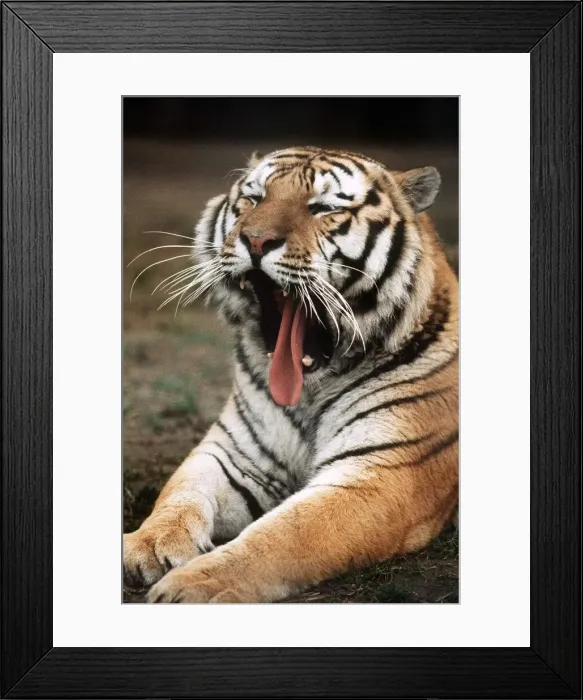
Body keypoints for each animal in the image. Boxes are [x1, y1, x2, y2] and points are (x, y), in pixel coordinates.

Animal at [124, 146, 459, 603]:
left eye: (324, 208)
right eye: (253, 199)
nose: (255, 240)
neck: (310, 393)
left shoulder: (384, 473)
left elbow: (284, 536)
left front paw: (191, 586)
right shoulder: (237, 456)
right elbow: (180, 492)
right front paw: (147, 544)